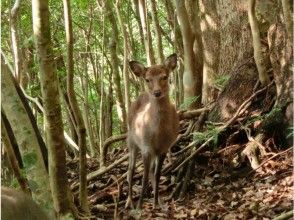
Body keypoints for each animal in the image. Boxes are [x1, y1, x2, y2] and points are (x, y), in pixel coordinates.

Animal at [126, 53, 179, 210]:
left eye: (165, 76)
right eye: (147, 79)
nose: (157, 92)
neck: (158, 134)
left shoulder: (163, 148)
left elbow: (157, 175)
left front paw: (157, 204)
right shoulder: (146, 147)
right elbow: (143, 179)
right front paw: (139, 206)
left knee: (150, 171)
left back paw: (159, 201)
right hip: (131, 141)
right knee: (130, 170)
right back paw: (130, 202)